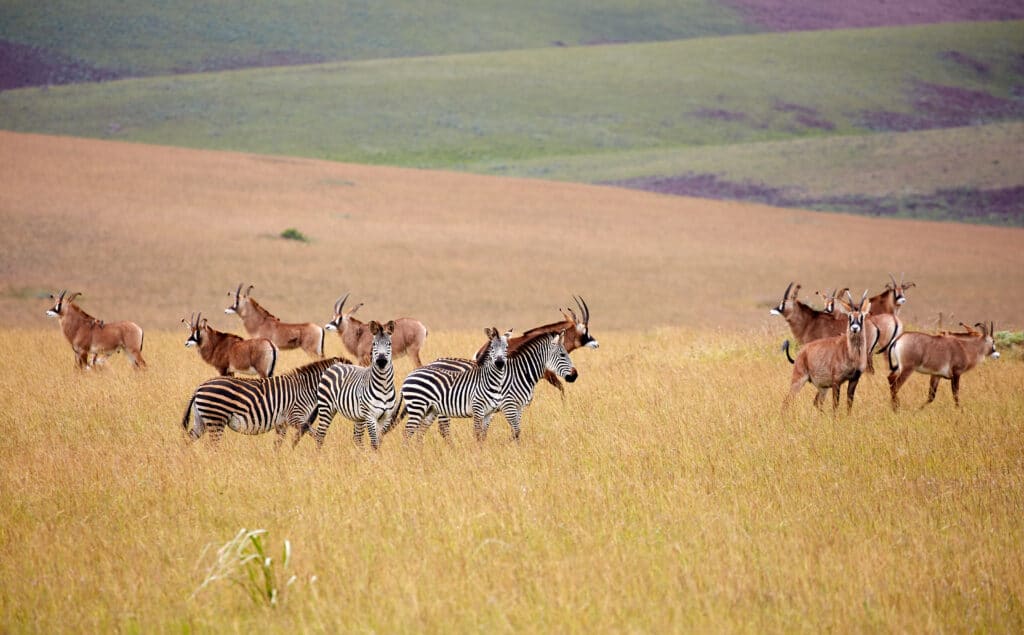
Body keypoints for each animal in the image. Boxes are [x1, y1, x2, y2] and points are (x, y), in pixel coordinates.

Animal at [181, 356, 350, 446]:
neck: (306, 389)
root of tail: (199, 387)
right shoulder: (295, 417)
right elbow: (315, 434)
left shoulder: (282, 422)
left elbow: (278, 444)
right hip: (216, 419)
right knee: (212, 447)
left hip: (202, 420)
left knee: (189, 440)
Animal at [300, 320, 400, 450]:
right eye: (374, 344)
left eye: (389, 344)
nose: (381, 361)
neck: (384, 386)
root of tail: (334, 365)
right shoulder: (370, 416)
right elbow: (374, 443)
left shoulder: (385, 417)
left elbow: (378, 442)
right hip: (326, 408)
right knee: (320, 435)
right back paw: (318, 454)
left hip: (358, 416)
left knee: (357, 438)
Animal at [431, 330, 577, 440]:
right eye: (562, 355)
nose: (575, 375)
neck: (520, 373)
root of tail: (434, 362)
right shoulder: (508, 405)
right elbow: (516, 431)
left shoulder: (519, 407)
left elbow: (515, 431)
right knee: (444, 429)